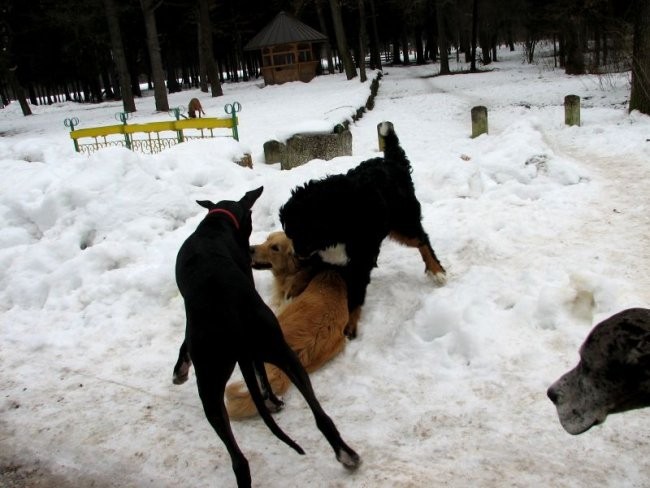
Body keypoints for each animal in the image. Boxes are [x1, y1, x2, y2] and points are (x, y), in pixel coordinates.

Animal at [171, 188, 360, 488]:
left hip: (213, 384)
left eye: (274, 247)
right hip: (284, 355)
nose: (249, 249)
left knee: (238, 457)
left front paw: (180, 370)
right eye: (268, 239)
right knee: (321, 416)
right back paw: (345, 454)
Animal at [278, 120, 446, 338]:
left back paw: (437, 271)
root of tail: (392, 162)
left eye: (302, 232)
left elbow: (355, 295)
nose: (296, 253)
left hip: (403, 224)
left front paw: (349, 325)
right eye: (291, 233)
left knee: (423, 240)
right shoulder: (322, 253)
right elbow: (311, 266)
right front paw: (294, 286)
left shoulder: (361, 261)